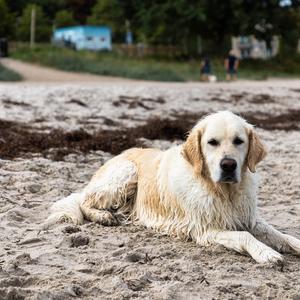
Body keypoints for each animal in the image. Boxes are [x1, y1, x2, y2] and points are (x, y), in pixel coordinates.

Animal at [46, 111, 300, 264]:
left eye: (239, 141)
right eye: (212, 142)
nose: (228, 165)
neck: (223, 192)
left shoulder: (249, 218)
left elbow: (281, 235)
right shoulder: (205, 230)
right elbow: (245, 236)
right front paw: (266, 253)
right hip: (126, 172)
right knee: (84, 201)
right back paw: (104, 216)